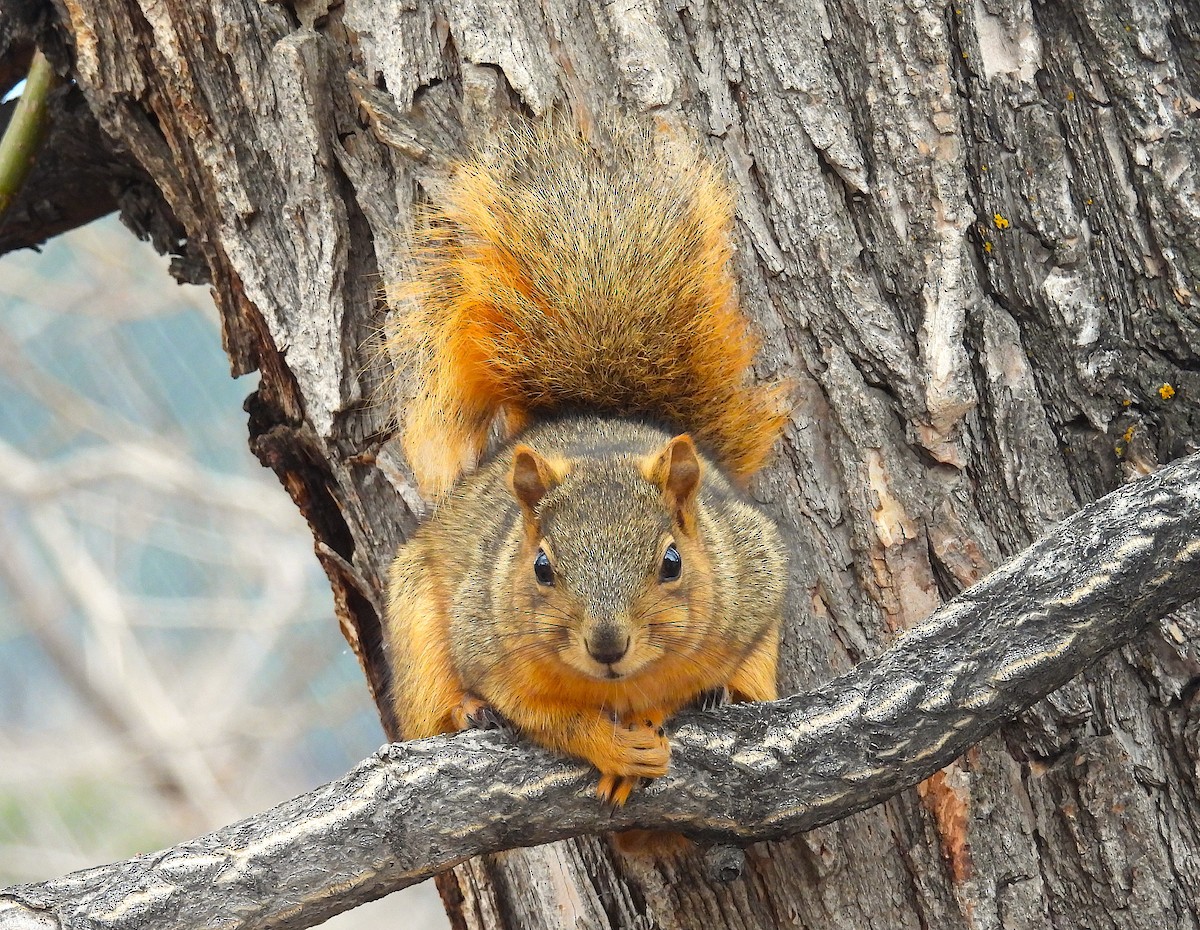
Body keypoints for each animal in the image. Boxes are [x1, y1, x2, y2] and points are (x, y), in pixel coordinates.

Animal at [383, 121, 789, 814]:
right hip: (415, 621)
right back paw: (466, 711)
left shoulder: (754, 591)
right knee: (431, 709)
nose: (606, 646)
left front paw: (658, 715)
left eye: (672, 562)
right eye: (541, 568)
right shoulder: (491, 644)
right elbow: (551, 719)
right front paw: (611, 746)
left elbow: (676, 693)